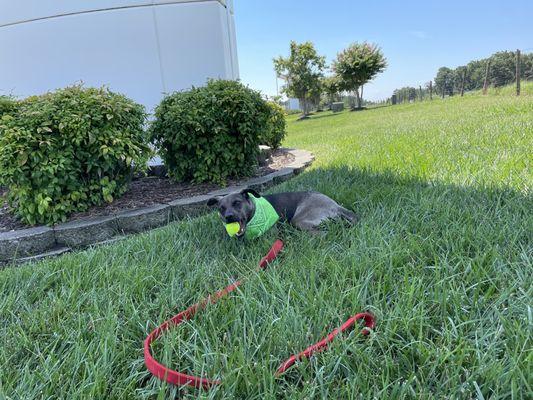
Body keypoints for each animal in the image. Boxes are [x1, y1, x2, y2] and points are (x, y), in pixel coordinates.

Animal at [208, 188, 358, 238]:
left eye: (237, 203)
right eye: (221, 208)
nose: (228, 217)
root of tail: (335, 205)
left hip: (298, 221)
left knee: (325, 232)